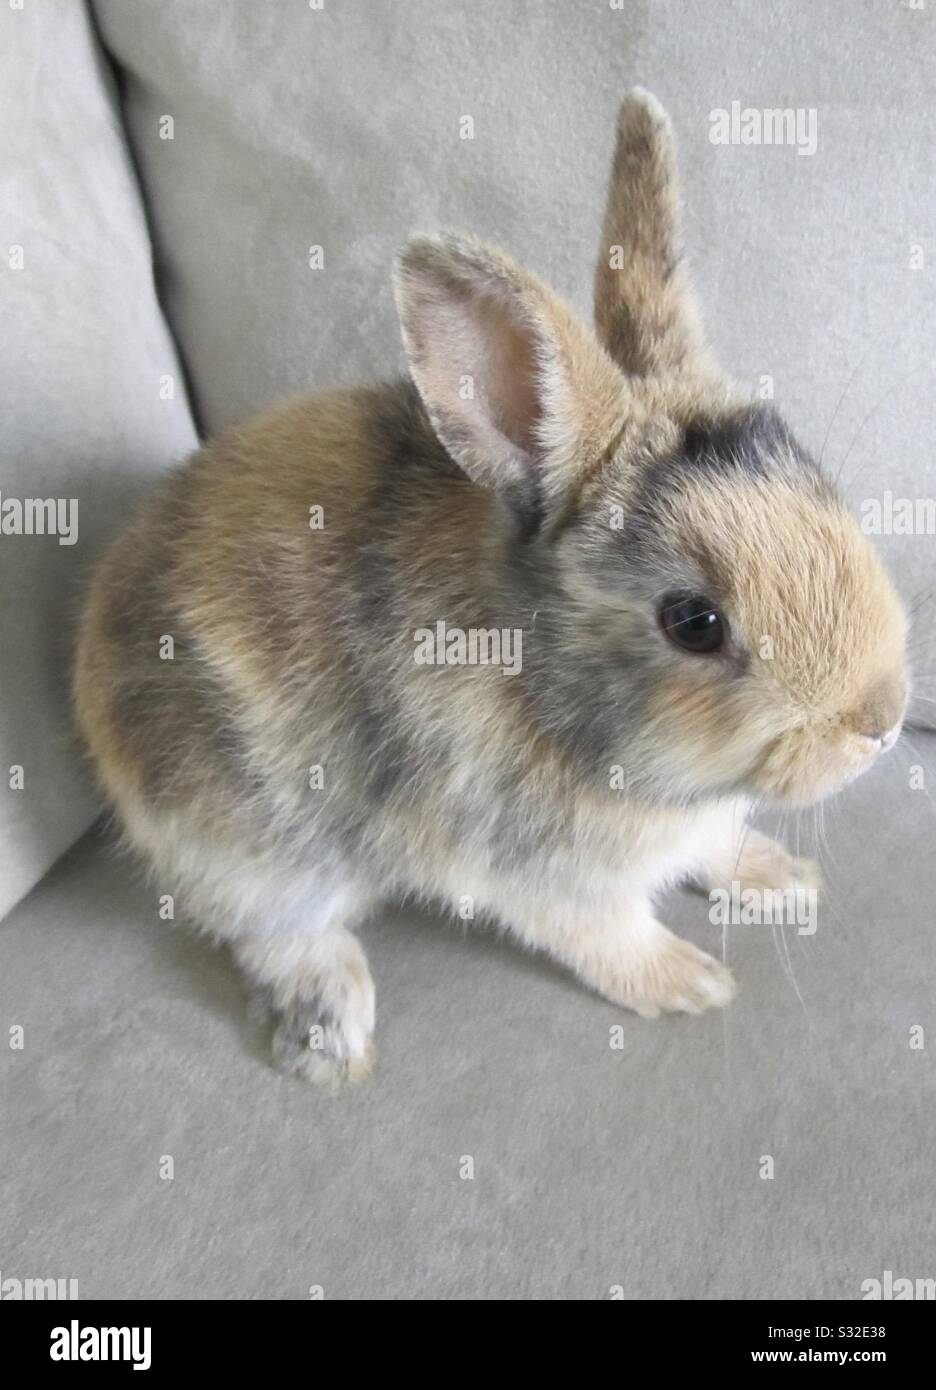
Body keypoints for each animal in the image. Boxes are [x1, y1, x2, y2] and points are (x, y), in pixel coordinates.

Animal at [73, 89, 906, 1084]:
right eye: (693, 621)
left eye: (827, 491)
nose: (882, 722)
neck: (540, 684)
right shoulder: (528, 871)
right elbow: (604, 934)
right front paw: (690, 983)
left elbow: (717, 843)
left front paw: (781, 879)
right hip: (253, 852)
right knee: (273, 933)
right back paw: (331, 1035)